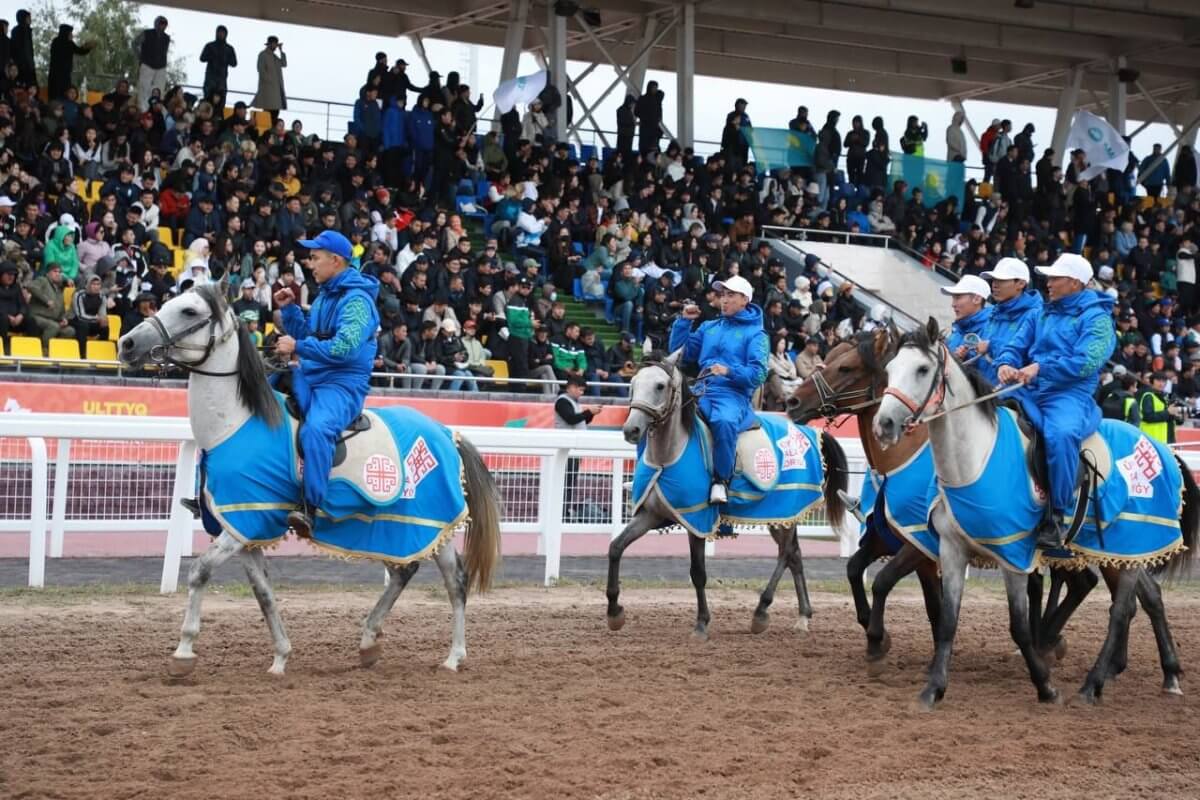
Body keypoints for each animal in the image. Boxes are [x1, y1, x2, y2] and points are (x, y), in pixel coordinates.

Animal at [117, 284, 501, 681]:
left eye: (190, 311)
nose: (127, 343)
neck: (235, 424)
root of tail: (447, 433)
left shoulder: (242, 522)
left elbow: (199, 572)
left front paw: (184, 650)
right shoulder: (243, 528)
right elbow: (263, 593)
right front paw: (280, 657)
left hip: (432, 523)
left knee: (455, 583)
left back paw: (453, 656)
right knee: (405, 571)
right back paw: (369, 642)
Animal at [604, 347, 849, 642]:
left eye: (660, 385)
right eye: (632, 384)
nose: (632, 430)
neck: (669, 455)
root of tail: (810, 431)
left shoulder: (697, 520)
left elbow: (698, 572)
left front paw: (701, 624)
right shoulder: (652, 515)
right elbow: (616, 547)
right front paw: (614, 611)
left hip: (784, 508)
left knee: (786, 553)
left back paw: (761, 611)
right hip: (783, 515)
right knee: (795, 556)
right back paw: (803, 616)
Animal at [782, 326, 1099, 671]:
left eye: (846, 368)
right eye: (827, 359)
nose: (792, 401)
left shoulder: (919, 544)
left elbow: (884, 582)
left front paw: (879, 640)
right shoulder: (893, 538)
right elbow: (858, 571)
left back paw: (1049, 643)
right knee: (1075, 584)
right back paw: (1050, 642)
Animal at [873, 319, 1200, 705]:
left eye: (923, 369)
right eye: (889, 369)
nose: (884, 424)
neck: (976, 457)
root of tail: (1164, 450)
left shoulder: (1012, 554)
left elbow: (1020, 626)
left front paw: (1045, 685)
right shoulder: (951, 550)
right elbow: (949, 621)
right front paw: (933, 688)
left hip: (1133, 541)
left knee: (1121, 611)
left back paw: (1092, 684)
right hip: (1122, 552)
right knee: (1147, 598)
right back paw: (1167, 673)